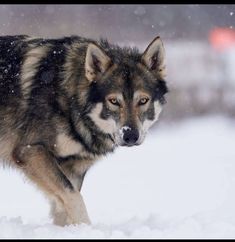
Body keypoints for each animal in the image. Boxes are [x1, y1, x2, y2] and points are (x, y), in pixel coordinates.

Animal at [0, 35, 169, 226]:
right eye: (114, 101)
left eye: (143, 100)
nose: (130, 135)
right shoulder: (29, 151)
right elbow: (75, 198)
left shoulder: (74, 169)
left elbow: (62, 208)